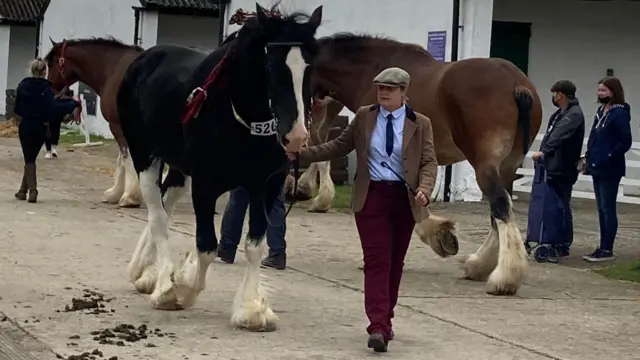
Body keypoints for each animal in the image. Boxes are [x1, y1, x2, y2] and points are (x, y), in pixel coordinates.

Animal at [45, 37, 144, 207]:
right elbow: (121, 159)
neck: (114, 69)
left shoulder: (118, 126)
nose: (51, 91)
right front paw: (115, 193)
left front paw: (129, 197)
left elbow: (126, 158)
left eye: (51, 64)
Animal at [118, 3, 322, 332]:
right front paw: (183, 288)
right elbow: (206, 247)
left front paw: (250, 309)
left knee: (165, 203)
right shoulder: (205, 185)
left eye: (311, 67)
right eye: (271, 66)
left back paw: (144, 273)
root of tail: (143, 60)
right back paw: (162, 285)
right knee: (157, 215)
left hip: (179, 168)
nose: (296, 137)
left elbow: (255, 245)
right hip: (144, 156)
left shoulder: (266, 185)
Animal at [308, 32, 544, 296]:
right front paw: (441, 235)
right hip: (508, 167)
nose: (313, 124)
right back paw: (479, 266)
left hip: (485, 165)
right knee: (500, 210)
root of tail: (516, 83)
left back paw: (504, 278)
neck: (372, 72)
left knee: (500, 205)